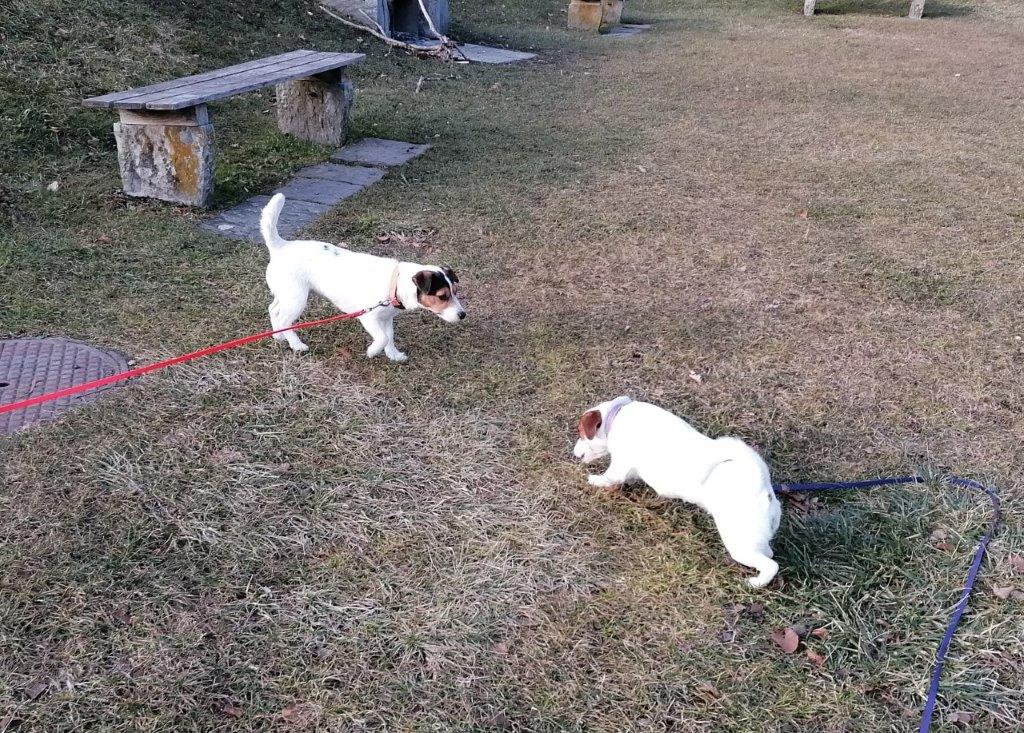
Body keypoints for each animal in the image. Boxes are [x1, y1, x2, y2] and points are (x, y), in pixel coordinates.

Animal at [259, 193, 465, 361]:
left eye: (455, 291)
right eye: (442, 296)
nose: (463, 315)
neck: (395, 284)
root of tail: (280, 246)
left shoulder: (386, 318)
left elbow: (389, 337)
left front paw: (394, 355)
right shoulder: (369, 317)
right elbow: (382, 338)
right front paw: (372, 351)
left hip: (286, 294)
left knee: (273, 309)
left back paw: (278, 336)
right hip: (297, 298)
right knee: (284, 319)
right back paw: (296, 345)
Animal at [574, 396, 782, 588]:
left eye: (581, 432)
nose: (574, 453)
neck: (615, 415)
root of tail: (766, 491)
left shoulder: (619, 465)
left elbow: (609, 477)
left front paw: (595, 480)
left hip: (740, 542)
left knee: (771, 565)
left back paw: (757, 582)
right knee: (769, 552)